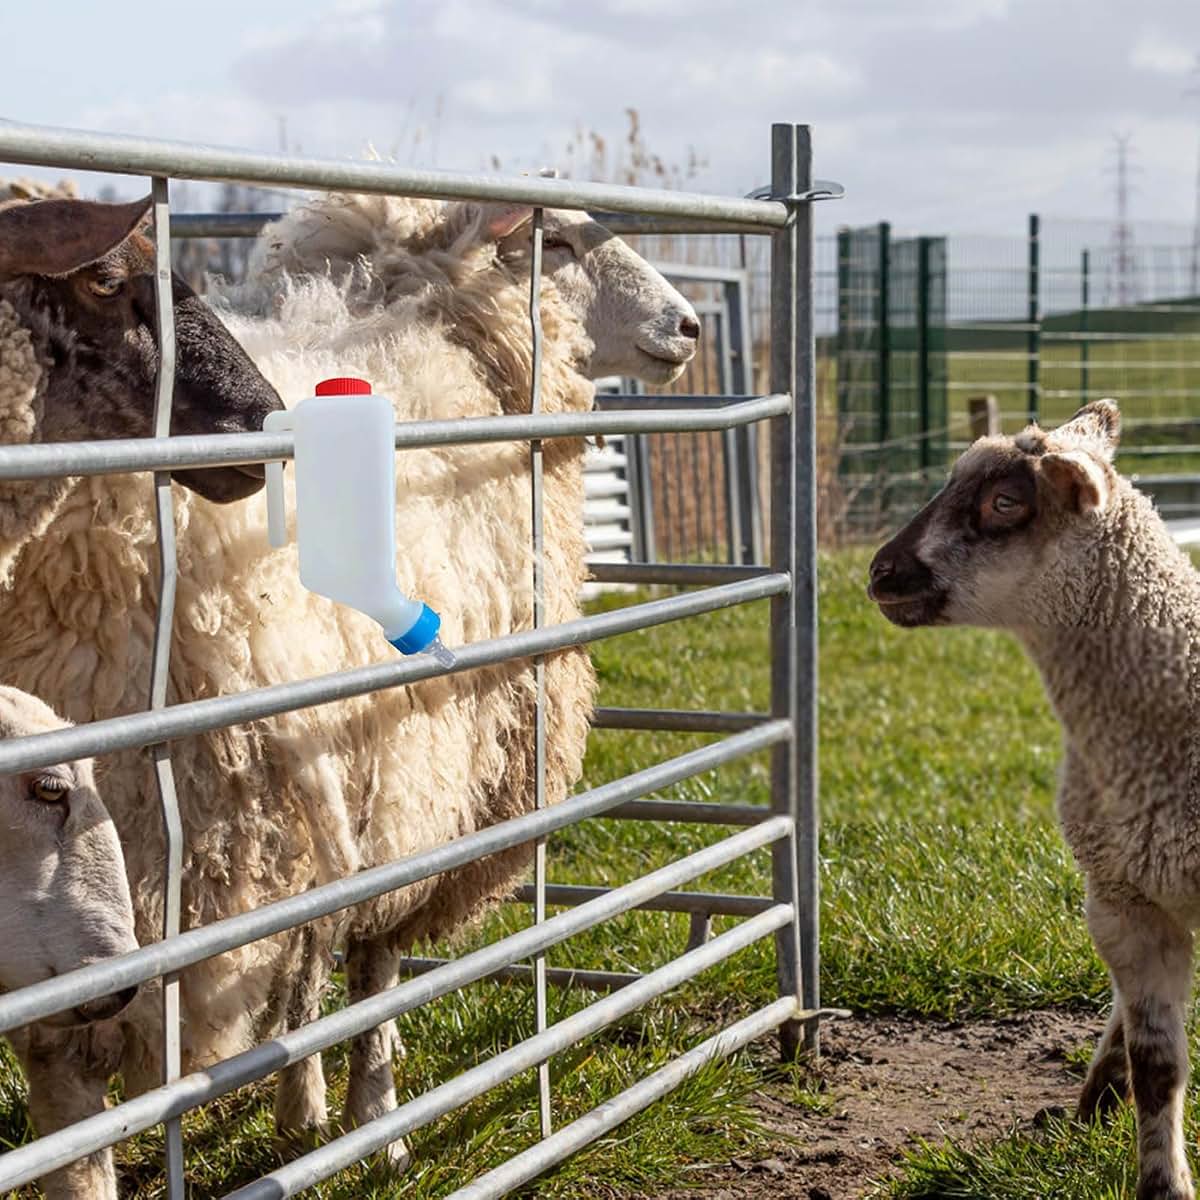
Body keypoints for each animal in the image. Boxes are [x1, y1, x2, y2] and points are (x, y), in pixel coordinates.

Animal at [867, 399, 1200, 1200]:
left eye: (1004, 503)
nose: (880, 572)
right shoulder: (1121, 900)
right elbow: (1158, 1066)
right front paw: (1161, 1183)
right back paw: (1095, 1099)